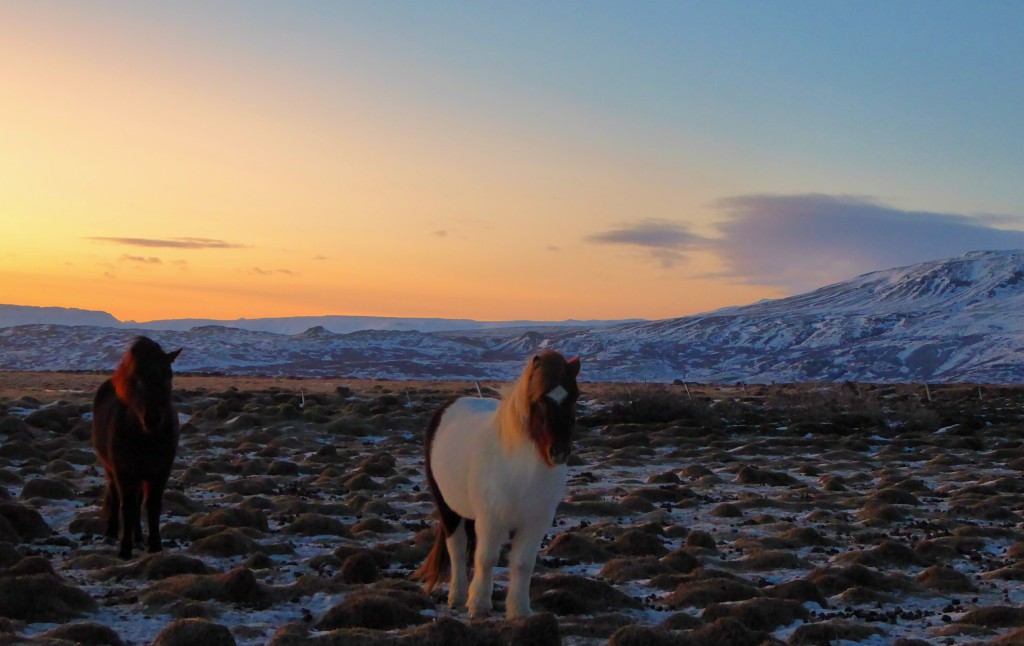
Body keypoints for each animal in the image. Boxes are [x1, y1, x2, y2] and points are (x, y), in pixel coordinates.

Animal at [92, 335, 182, 556]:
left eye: (168, 376)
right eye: (138, 378)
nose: (153, 419)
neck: (145, 438)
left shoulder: (160, 471)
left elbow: (152, 506)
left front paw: (155, 545)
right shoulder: (124, 471)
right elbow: (128, 507)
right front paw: (125, 549)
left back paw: (139, 538)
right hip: (112, 470)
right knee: (115, 496)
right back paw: (111, 533)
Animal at [411, 352, 581, 618]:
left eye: (574, 397)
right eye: (540, 399)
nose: (559, 452)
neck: (520, 469)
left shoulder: (536, 521)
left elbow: (523, 563)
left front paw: (519, 610)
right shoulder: (491, 518)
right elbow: (486, 558)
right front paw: (479, 605)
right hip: (448, 508)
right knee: (457, 548)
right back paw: (457, 596)